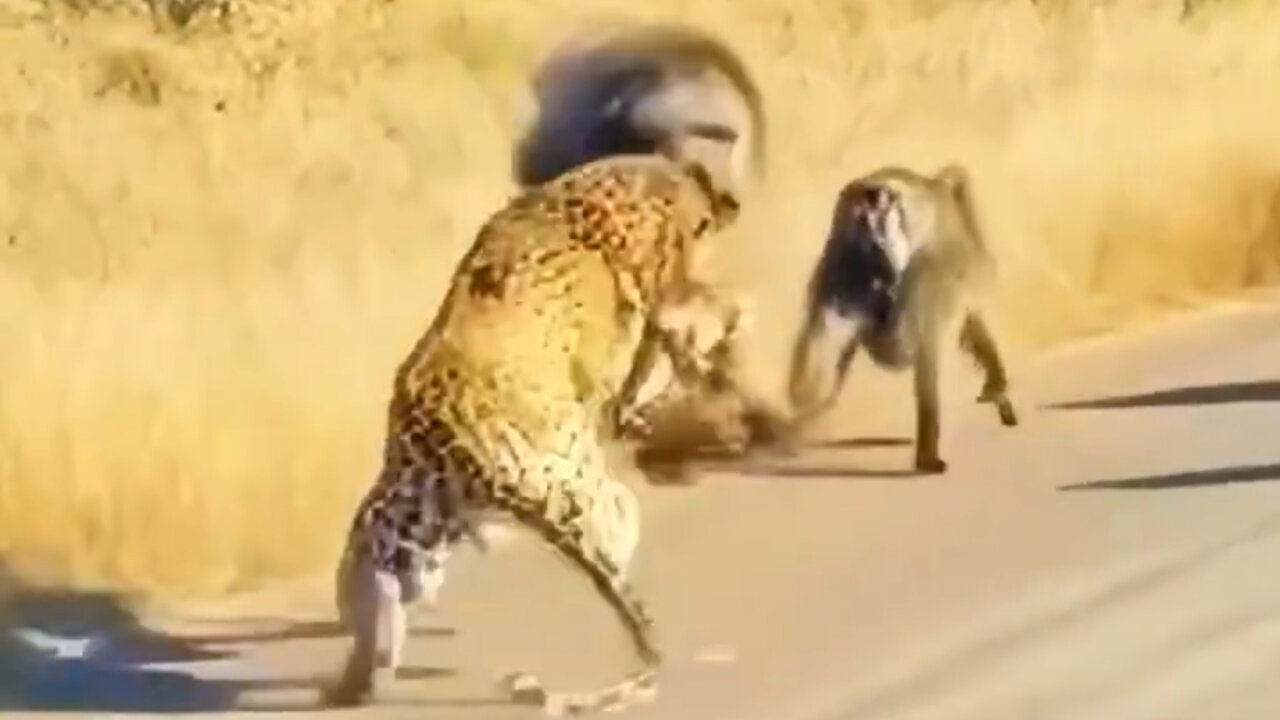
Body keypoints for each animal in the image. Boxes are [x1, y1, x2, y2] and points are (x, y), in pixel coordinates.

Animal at [322, 153, 748, 716]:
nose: (728, 205)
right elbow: (683, 334)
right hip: (586, 493)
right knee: (619, 539)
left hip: (393, 533)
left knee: (378, 608)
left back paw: (354, 682)